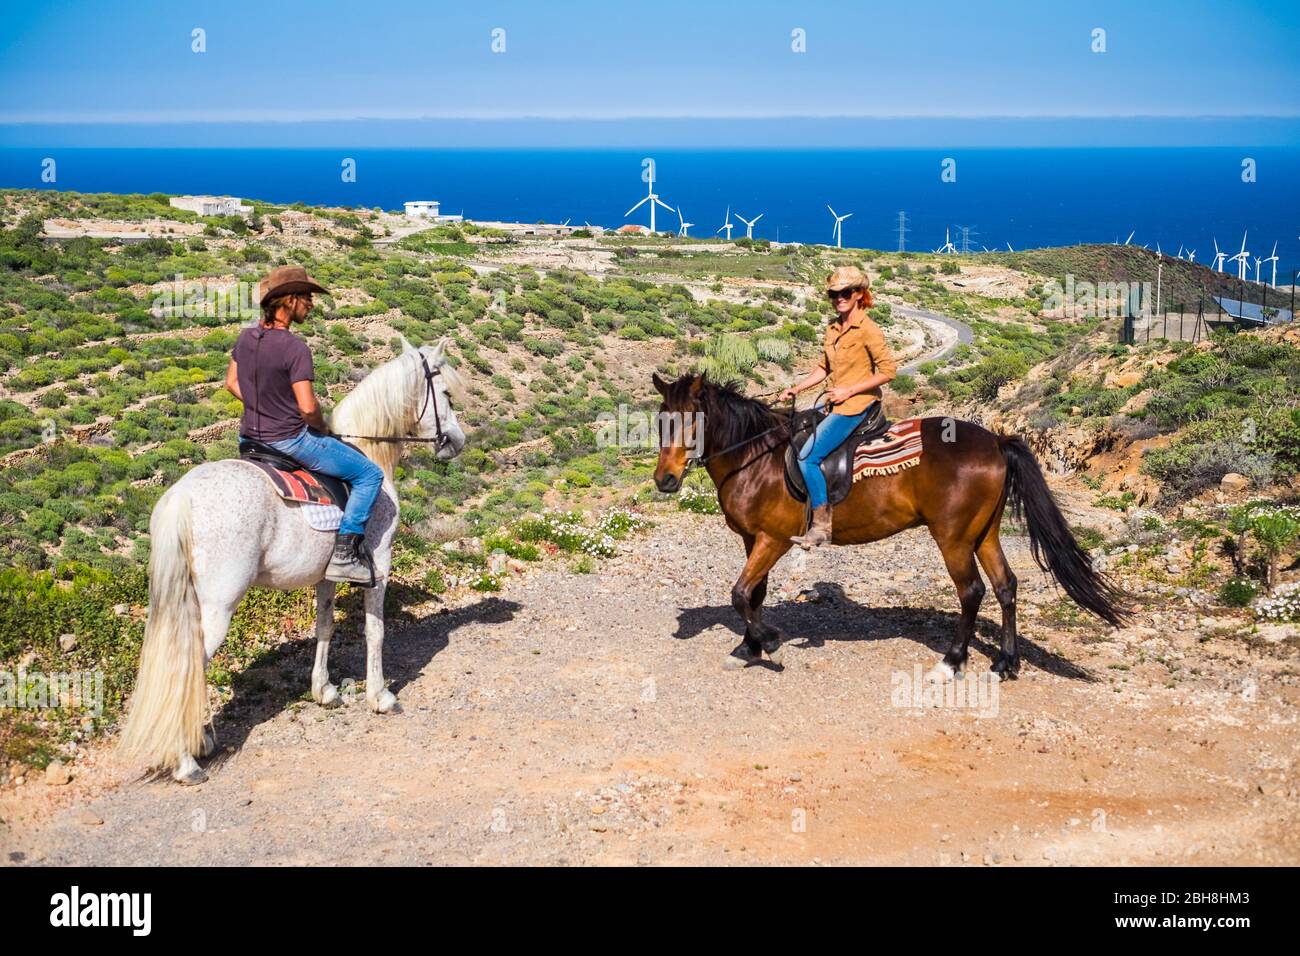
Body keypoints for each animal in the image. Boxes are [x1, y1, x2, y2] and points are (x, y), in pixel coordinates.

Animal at [120, 335, 467, 785]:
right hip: (218, 606)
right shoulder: (380, 565)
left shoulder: (327, 575)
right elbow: (375, 632)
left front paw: (325, 691)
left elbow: (325, 627)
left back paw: (201, 739)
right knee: (187, 666)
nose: (456, 441)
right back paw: (186, 762)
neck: (369, 451)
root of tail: (182, 495)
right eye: (445, 393)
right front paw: (380, 696)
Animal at [650, 374, 1128, 681]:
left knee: (972, 591)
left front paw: (768, 644)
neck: (755, 458)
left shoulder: (774, 539)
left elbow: (739, 593)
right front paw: (748, 648)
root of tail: (995, 441)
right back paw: (1005, 664)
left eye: (693, 420)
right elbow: (754, 594)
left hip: (953, 537)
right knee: (1005, 585)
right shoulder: (754, 539)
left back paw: (952, 662)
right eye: (660, 420)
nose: (665, 480)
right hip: (984, 533)